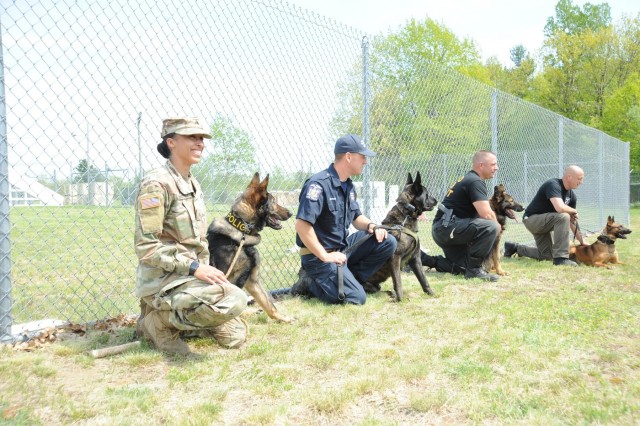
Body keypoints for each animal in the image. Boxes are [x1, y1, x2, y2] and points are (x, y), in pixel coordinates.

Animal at [206, 173, 294, 322]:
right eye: (274, 201)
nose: (291, 213)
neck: (242, 230)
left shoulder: (253, 281)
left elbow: (269, 303)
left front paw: (282, 318)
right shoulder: (224, 279)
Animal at [362, 171, 438, 302]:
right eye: (427, 194)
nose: (437, 200)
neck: (407, 214)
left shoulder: (415, 258)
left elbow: (423, 279)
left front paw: (431, 293)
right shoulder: (395, 258)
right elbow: (398, 281)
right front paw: (400, 300)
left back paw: (390, 294)